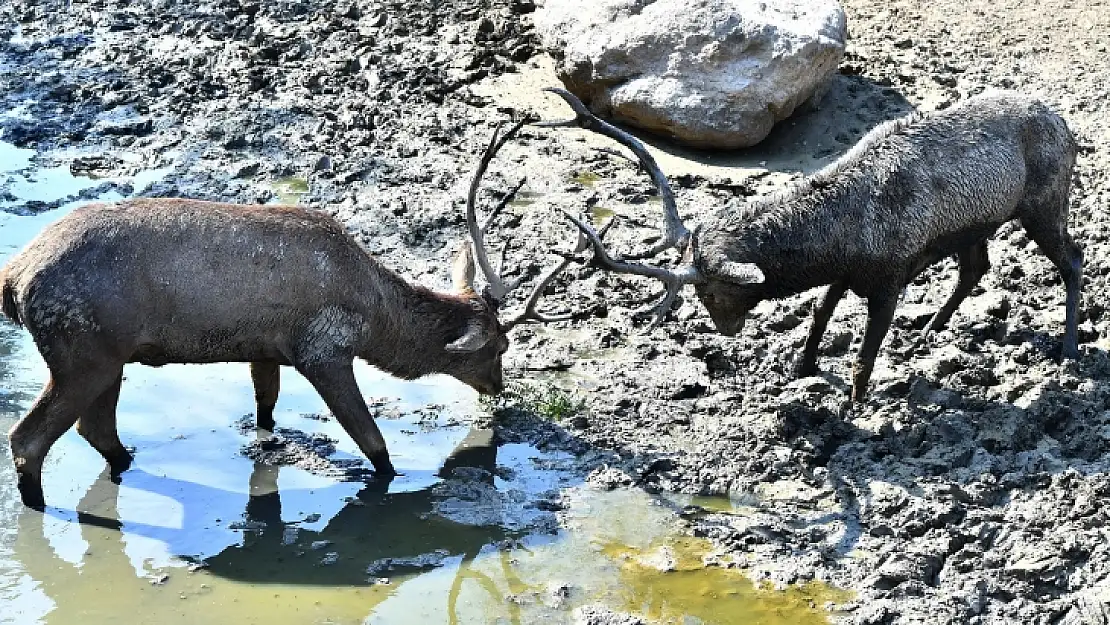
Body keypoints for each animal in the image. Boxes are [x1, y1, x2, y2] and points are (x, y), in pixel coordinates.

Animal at [4, 118, 581, 508]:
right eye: (499, 346)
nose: (499, 389)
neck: (374, 320)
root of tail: (13, 280)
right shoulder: (324, 350)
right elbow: (371, 440)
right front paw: (392, 481)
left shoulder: (265, 347)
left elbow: (266, 407)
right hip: (83, 351)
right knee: (29, 438)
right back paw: (39, 507)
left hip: (109, 356)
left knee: (95, 428)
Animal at [541, 86, 1078, 401]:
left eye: (709, 289)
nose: (726, 329)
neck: (842, 238)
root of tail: (1067, 127)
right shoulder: (848, 272)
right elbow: (820, 313)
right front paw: (801, 366)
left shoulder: (891, 275)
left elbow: (864, 352)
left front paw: (854, 405)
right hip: (979, 224)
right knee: (976, 266)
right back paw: (928, 330)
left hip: (1044, 204)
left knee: (1073, 258)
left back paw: (1070, 348)